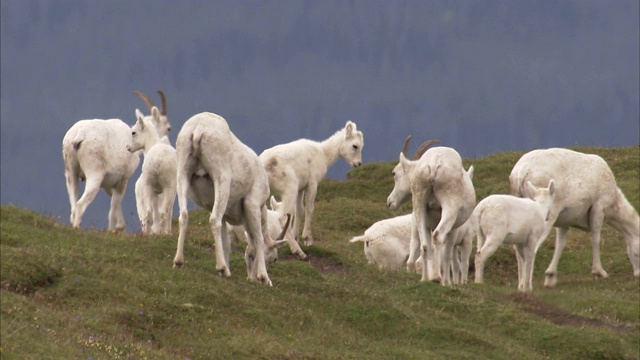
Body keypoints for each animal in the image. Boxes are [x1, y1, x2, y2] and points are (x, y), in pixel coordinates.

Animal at [127, 107, 178, 236]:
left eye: (133, 132)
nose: (128, 147)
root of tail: (157, 160)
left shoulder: (155, 191)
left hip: (148, 185)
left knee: (148, 212)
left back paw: (147, 234)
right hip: (168, 187)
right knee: (164, 212)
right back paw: (165, 233)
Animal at [171, 111, 288, 286]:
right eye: (274, 259)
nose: (252, 279)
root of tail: (198, 129)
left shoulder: (226, 215)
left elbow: (226, 242)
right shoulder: (252, 204)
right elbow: (259, 238)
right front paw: (265, 278)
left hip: (183, 174)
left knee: (184, 215)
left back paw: (178, 262)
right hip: (222, 179)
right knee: (214, 220)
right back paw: (222, 268)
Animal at [258, 122, 362, 255]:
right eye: (355, 146)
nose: (358, 164)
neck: (324, 154)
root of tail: (265, 165)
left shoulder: (300, 189)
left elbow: (299, 210)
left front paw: (297, 236)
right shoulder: (312, 184)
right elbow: (309, 208)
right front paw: (307, 239)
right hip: (289, 189)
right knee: (282, 217)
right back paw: (298, 251)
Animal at [384, 136, 476, 286]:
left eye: (394, 173)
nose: (390, 202)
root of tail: (433, 165)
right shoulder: (454, 229)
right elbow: (448, 253)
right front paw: (447, 283)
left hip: (419, 205)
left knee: (425, 245)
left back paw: (425, 279)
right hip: (450, 209)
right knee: (438, 236)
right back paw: (437, 278)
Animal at [510, 147, 640, 286]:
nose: (638, 274)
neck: (613, 208)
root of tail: (521, 173)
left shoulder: (564, 221)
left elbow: (560, 244)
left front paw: (550, 276)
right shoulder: (599, 208)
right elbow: (596, 238)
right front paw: (599, 272)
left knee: (518, 249)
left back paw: (520, 284)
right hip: (546, 216)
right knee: (531, 249)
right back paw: (526, 285)